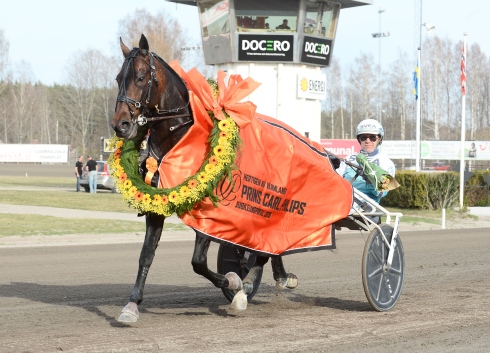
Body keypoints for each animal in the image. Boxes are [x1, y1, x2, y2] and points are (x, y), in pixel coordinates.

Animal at [112, 35, 296, 322]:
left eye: (141, 78)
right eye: (118, 77)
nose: (120, 125)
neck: (181, 138)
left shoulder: (208, 212)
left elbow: (198, 262)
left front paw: (234, 282)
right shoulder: (156, 204)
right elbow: (146, 255)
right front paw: (132, 305)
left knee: (264, 246)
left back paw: (251, 283)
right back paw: (279, 276)